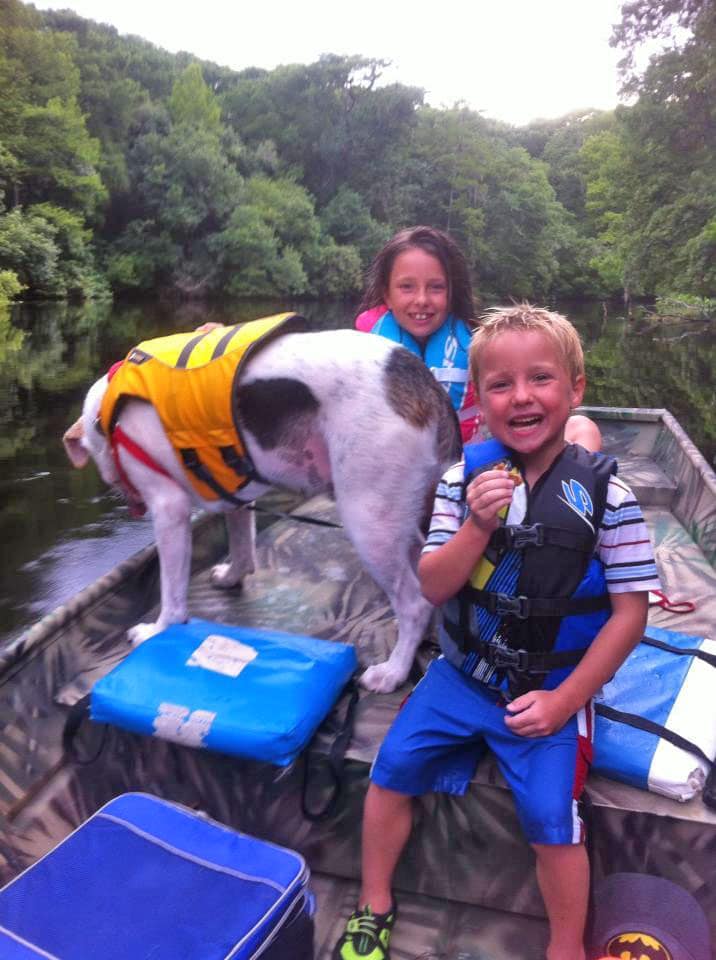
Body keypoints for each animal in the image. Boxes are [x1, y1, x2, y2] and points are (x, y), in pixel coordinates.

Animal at [64, 322, 462, 688]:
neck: (108, 413)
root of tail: (423, 381)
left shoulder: (169, 509)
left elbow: (172, 591)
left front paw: (156, 630)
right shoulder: (234, 495)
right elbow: (242, 545)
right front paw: (232, 576)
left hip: (370, 522)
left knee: (413, 604)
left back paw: (393, 672)